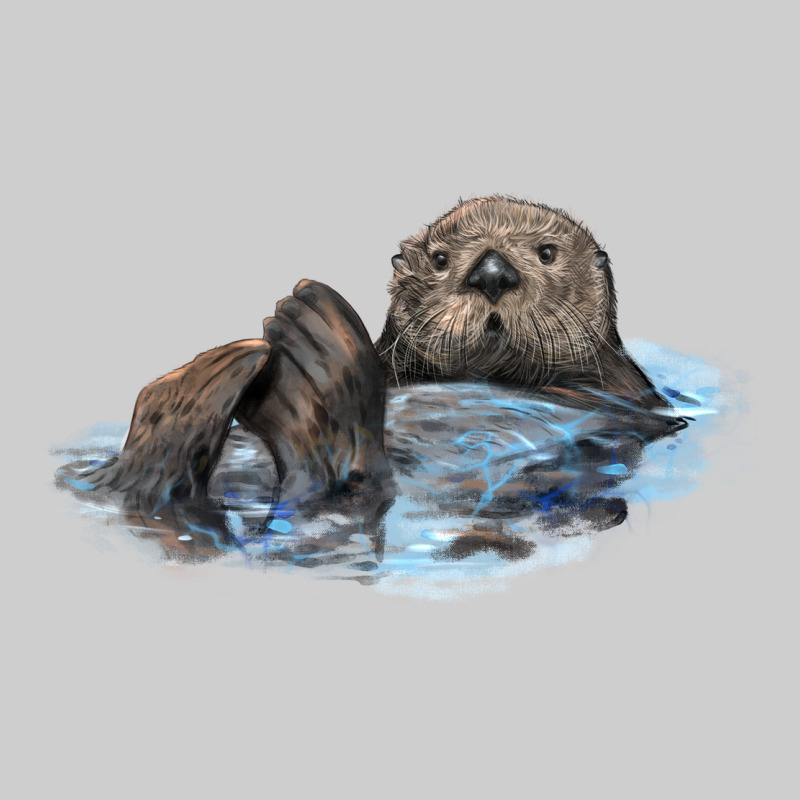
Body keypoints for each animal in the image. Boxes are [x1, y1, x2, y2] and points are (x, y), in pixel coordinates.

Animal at [78, 196, 673, 508]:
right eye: (440, 259)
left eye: (547, 253)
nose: (491, 274)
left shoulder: (622, 390)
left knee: (340, 475)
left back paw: (304, 347)